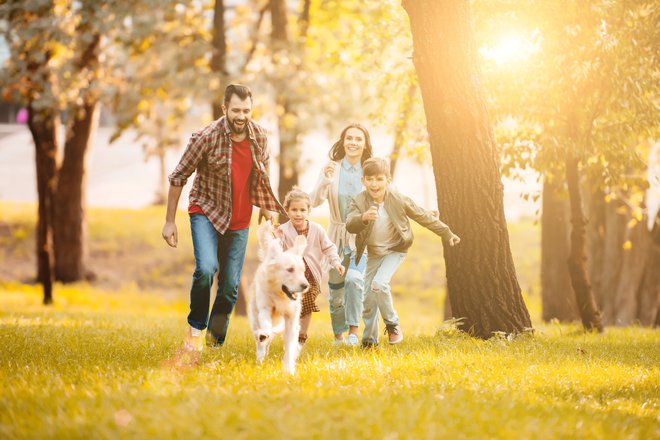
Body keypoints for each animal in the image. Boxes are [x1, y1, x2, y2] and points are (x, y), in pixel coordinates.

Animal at [248, 220, 310, 374]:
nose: (306, 285)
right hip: (254, 315)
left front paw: (289, 370)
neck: (279, 295)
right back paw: (260, 357)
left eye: (303, 270)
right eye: (290, 269)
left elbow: (289, 346)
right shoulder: (265, 308)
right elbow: (265, 327)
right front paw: (264, 336)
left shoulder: (291, 318)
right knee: (259, 338)